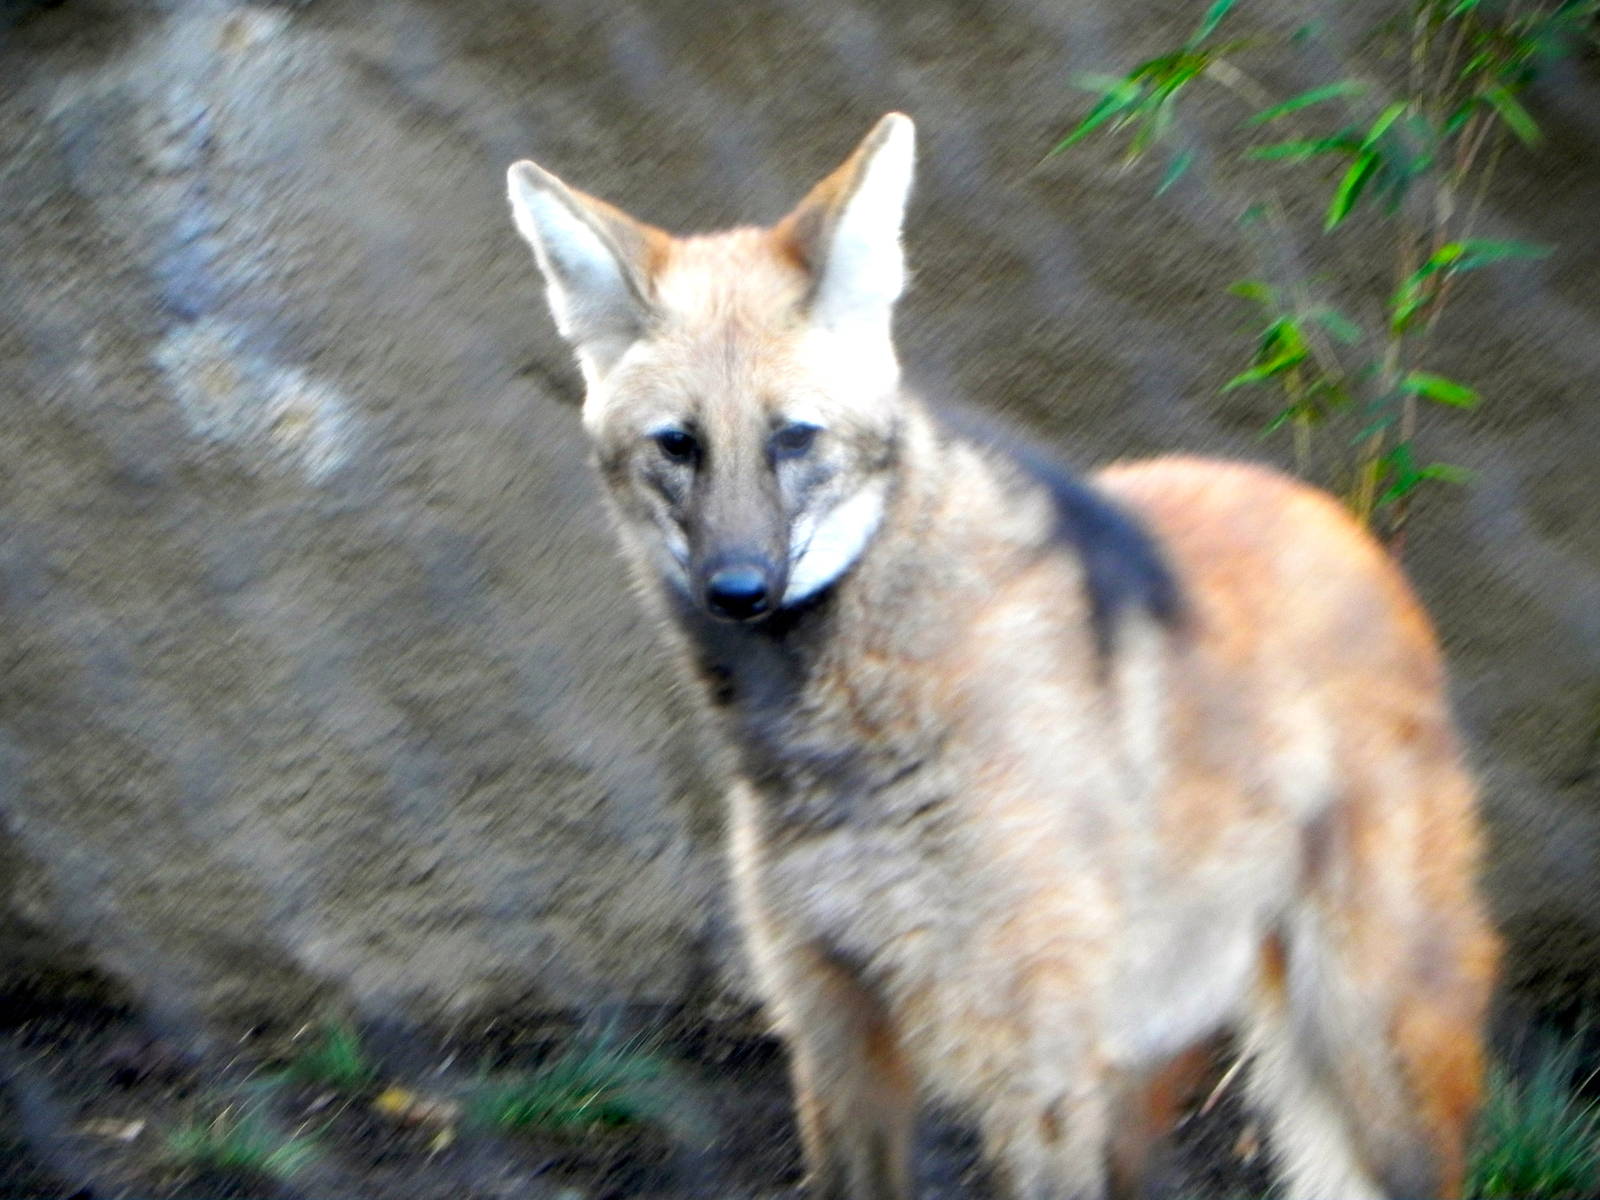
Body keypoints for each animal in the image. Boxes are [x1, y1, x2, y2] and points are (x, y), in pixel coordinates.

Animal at [503, 113, 1498, 1199]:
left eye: (794, 438)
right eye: (678, 445)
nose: (738, 590)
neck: (837, 742)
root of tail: (1343, 520)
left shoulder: (1034, 1064)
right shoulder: (836, 1026)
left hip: (1363, 1031)